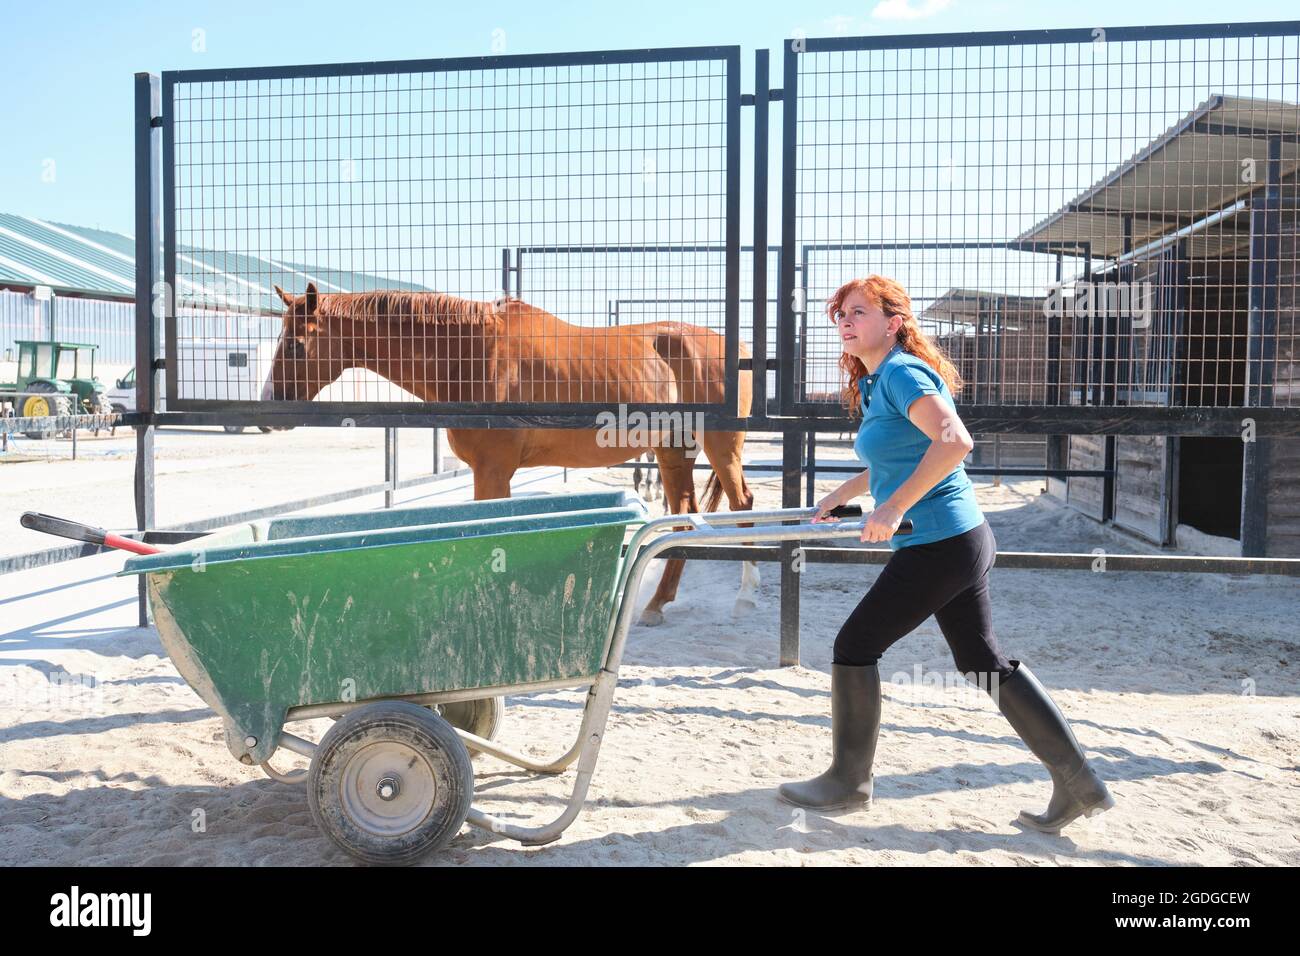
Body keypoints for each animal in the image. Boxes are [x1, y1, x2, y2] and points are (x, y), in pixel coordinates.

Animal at [258, 282, 759, 629]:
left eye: (296, 345)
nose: (267, 410)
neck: (470, 357)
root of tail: (734, 348)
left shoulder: (493, 472)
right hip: (673, 451)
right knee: (684, 517)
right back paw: (656, 604)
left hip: (720, 449)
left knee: (743, 507)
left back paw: (746, 597)